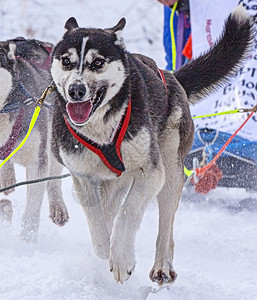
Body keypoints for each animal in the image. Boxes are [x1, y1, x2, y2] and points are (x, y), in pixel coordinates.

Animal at [51, 6, 253, 284]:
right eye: (66, 61)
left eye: (98, 62)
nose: (76, 90)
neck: (101, 130)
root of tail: (171, 77)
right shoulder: (82, 176)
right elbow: (97, 220)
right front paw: (105, 246)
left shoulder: (152, 172)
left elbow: (128, 212)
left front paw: (121, 258)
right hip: (117, 181)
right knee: (110, 207)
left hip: (170, 172)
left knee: (165, 228)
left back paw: (162, 267)